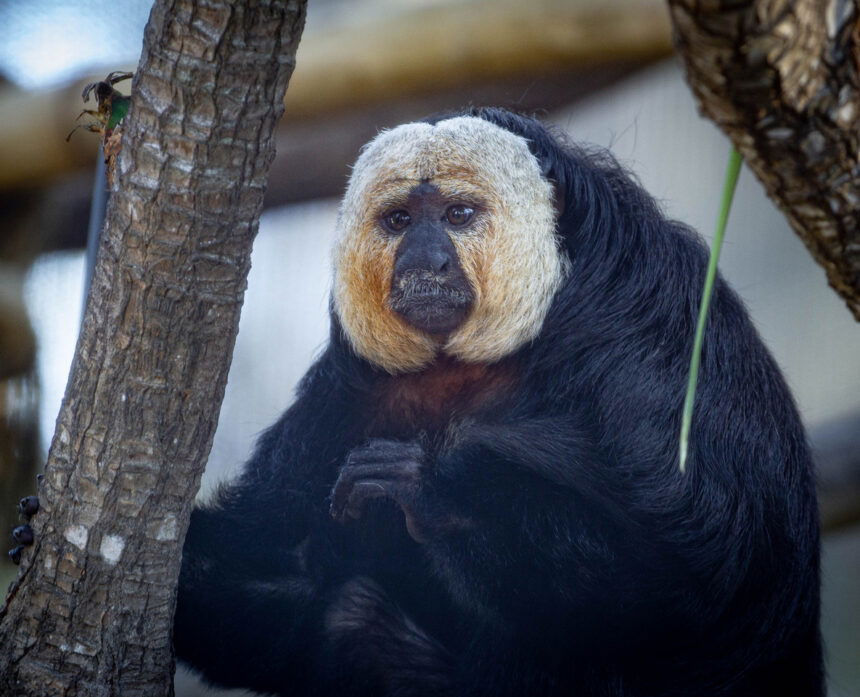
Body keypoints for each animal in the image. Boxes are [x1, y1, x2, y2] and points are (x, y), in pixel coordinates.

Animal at [171, 107, 824, 696]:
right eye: (399, 220)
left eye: (458, 216)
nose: (424, 263)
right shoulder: (347, 387)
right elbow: (272, 569)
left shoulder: (656, 341)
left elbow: (697, 586)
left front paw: (433, 491)